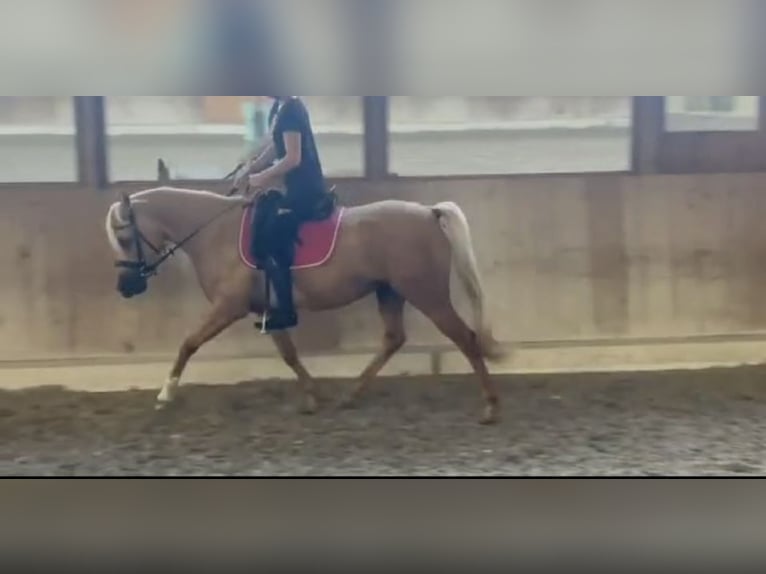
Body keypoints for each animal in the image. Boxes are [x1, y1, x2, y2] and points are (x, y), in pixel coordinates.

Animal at [103, 187, 510, 426]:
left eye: (123, 236)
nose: (125, 287)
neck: (215, 233)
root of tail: (428, 212)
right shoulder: (266, 310)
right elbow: (289, 354)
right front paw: (314, 396)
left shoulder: (228, 307)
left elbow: (188, 343)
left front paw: (165, 394)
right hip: (389, 291)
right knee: (394, 338)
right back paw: (350, 396)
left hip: (426, 294)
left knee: (465, 337)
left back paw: (491, 407)